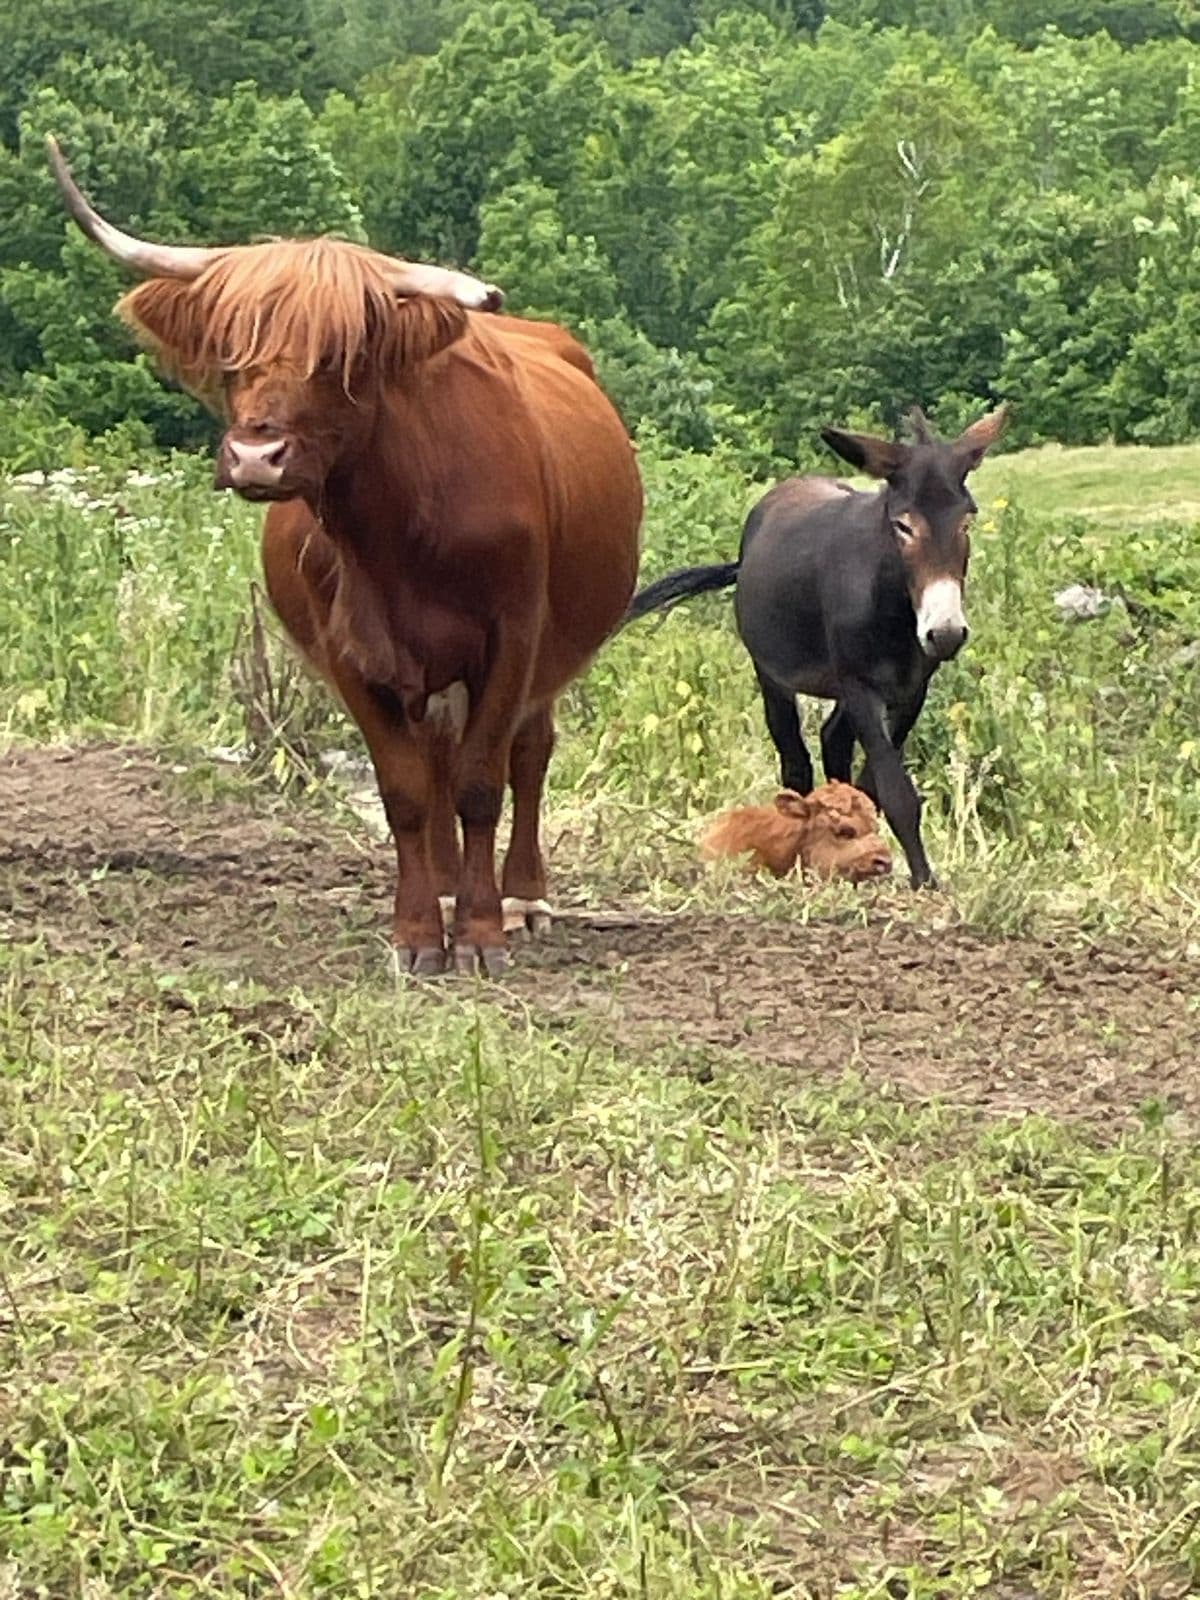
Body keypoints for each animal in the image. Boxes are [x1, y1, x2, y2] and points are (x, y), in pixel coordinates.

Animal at [47, 137, 643, 975]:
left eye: (338, 357)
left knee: (528, 752)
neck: (393, 540)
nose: (256, 457)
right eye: (232, 354)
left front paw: (483, 932)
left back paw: (522, 897)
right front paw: (420, 932)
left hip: (550, 650)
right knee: (437, 761)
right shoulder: (350, 653)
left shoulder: (514, 636)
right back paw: (451, 892)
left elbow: (482, 781)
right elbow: (406, 791)